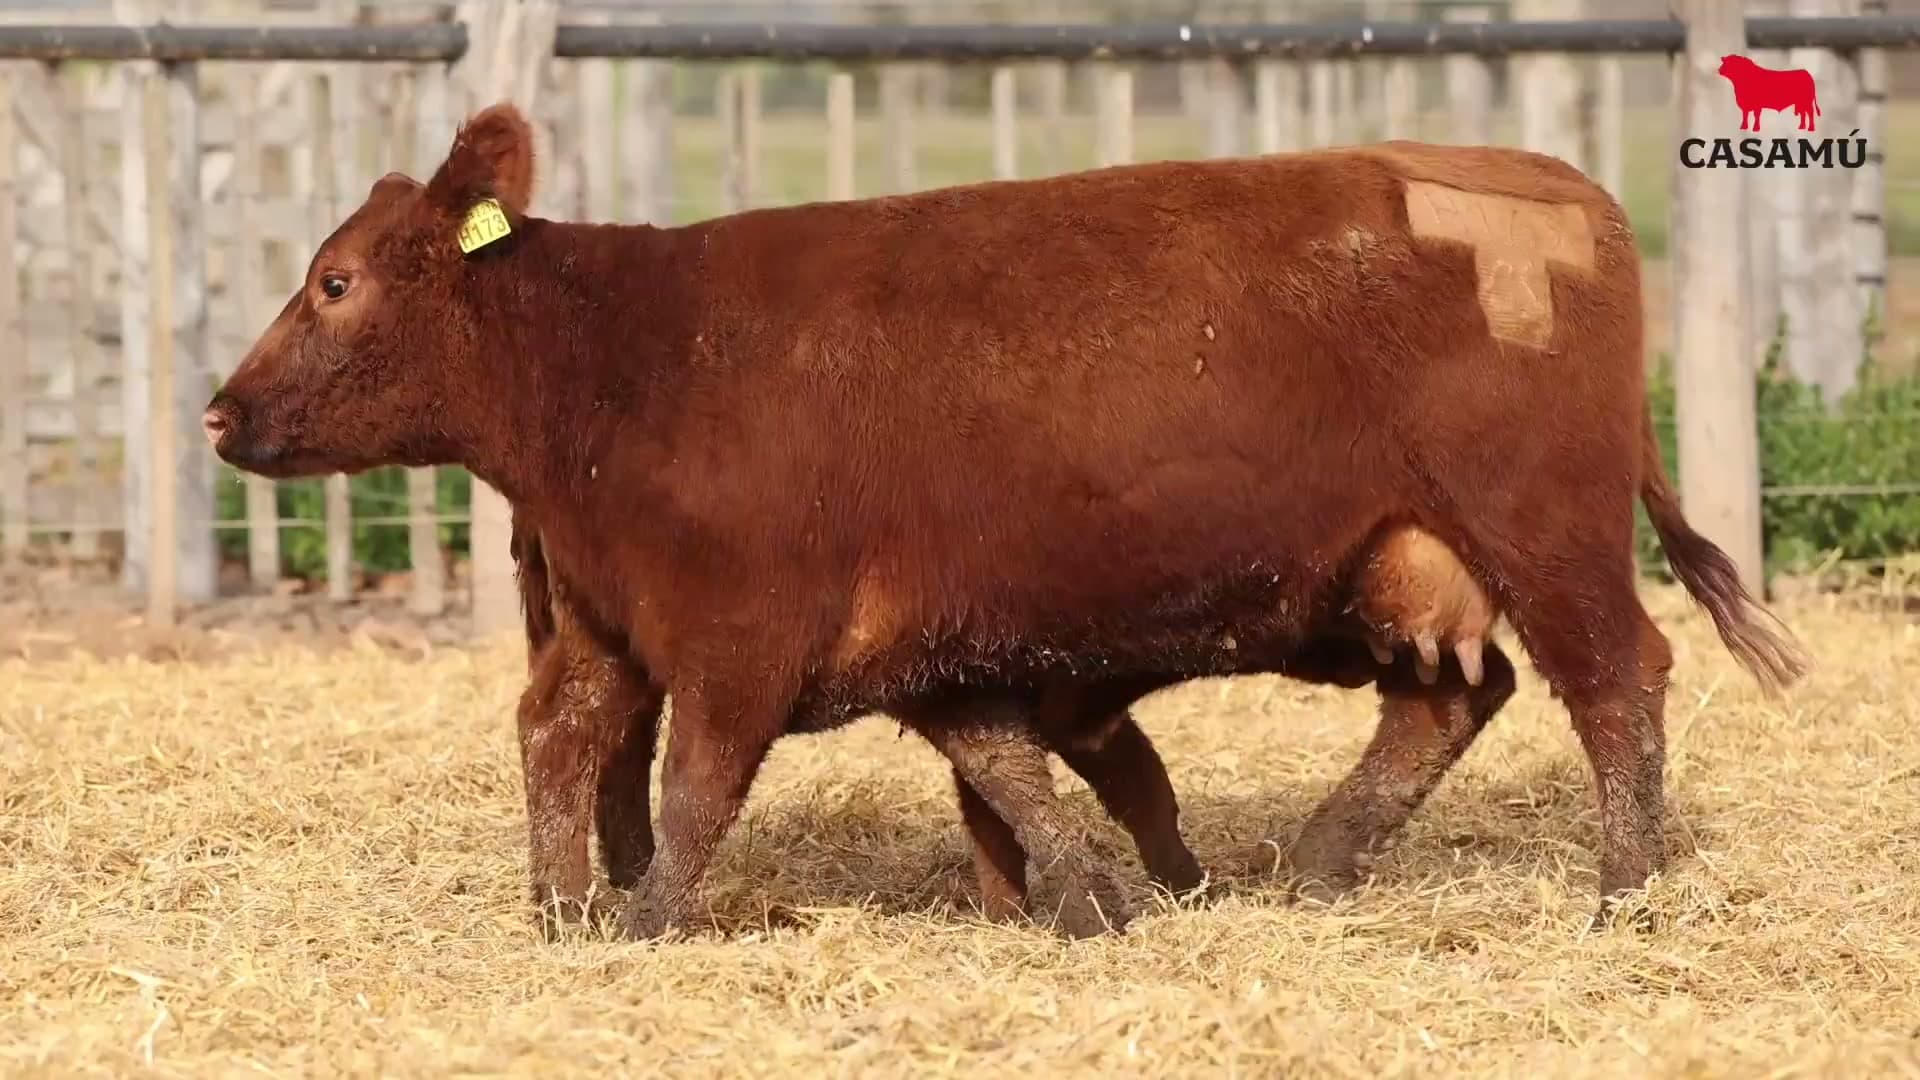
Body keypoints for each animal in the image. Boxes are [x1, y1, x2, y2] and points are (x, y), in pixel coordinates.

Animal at [205, 103, 1809, 941]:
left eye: (338, 280)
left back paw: (1622, 889)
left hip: (1544, 530)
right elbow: (1006, 773)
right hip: (1409, 565)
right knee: (1452, 701)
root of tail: (1551, 185)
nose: (220, 412)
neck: (637, 356)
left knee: (1617, 680)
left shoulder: (739, 639)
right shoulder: (663, 624)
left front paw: (650, 919)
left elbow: (695, 790)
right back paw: (1322, 862)